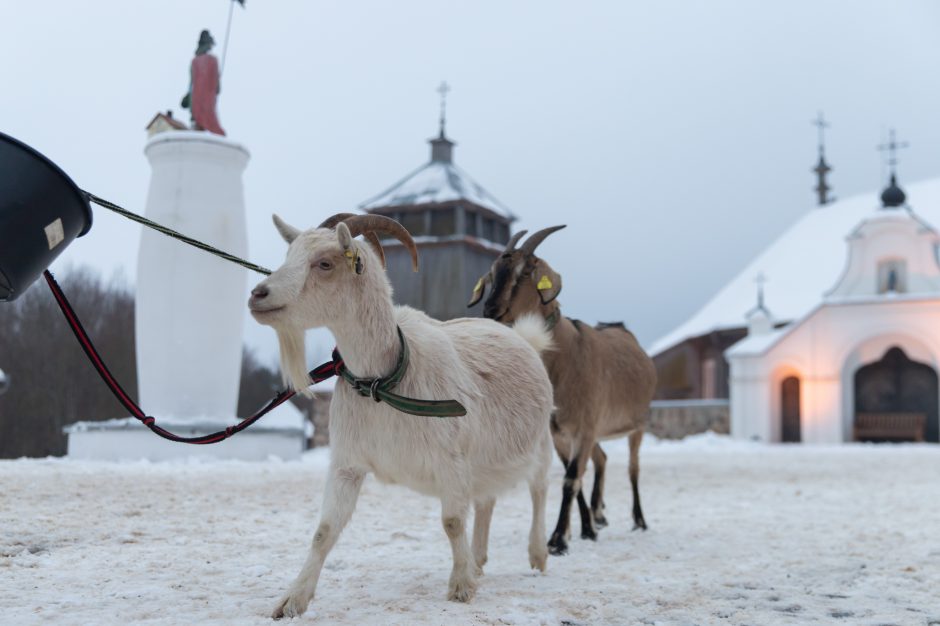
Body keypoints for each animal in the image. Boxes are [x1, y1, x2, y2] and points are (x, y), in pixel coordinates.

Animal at [250, 212, 560, 616]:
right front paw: (293, 600)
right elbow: (324, 531)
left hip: (540, 444)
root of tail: (524, 340)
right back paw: (478, 561)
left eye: (325, 263)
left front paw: (460, 587)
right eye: (290, 255)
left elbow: (452, 521)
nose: (258, 295)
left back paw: (536, 555)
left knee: (539, 490)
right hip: (483, 460)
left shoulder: (450, 460)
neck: (385, 379)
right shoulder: (348, 463)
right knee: (486, 500)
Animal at [466, 227, 656, 552]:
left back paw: (639, 521)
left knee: (633, 469)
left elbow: (571, 479)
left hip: (638, 424)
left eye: (526, 271)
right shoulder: (559, 432)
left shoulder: (585, 427)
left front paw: (556, 540)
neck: (567, 356)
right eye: (491, 274)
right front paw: (580, 530)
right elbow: (573, 477)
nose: (491, 311)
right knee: (601, 460)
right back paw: (597, 518)